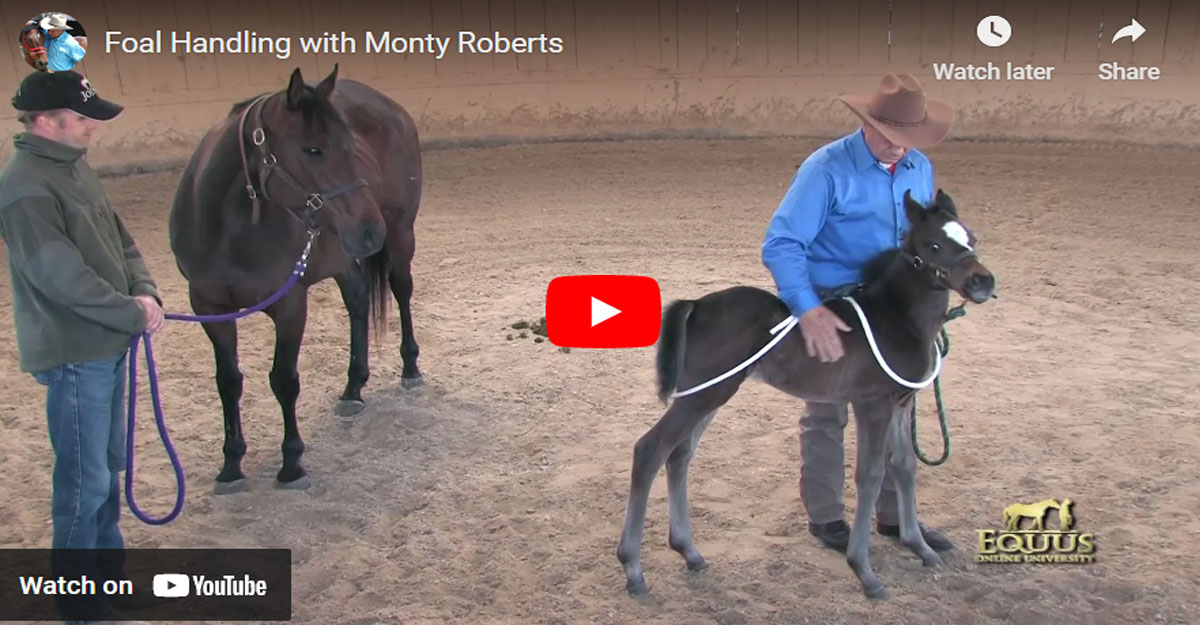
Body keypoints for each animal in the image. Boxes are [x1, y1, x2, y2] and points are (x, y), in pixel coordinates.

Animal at [171, 63, 424, 491]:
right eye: (312, 149)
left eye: (348, 145)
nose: (370, 231)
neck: (229, 230)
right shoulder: (209, 306)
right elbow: (228, 381)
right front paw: (231, 464)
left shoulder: (290, 305)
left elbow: (284, 380)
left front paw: (291, 463)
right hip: (342, 257)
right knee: (358, 302)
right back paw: (353, 388)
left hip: (401, 234)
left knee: (401, 290)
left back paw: (410, 369)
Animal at [614, 188, 998, 599]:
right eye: (934, 244)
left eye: (972, 239)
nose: (983, 281)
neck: (894, 319)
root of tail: (696, 305)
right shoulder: (872, 405)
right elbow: (870, 475)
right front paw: (865, 572)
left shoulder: (900, 404)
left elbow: (905, 468)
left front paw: (920, 547)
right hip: (705, 393)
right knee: (651, 449)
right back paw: (633, 569)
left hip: (709, 393)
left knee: (680, 454)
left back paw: (689, 552)